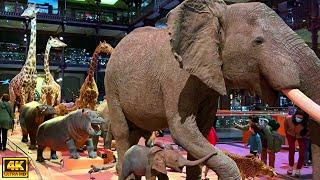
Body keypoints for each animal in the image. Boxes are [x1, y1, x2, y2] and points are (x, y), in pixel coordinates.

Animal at [105, 0, 320, 179]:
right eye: (258, 41)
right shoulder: (176, 80)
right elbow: (183, 131)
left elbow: (202, 130)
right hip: (111, 84)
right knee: (122, 131)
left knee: (134, 132)